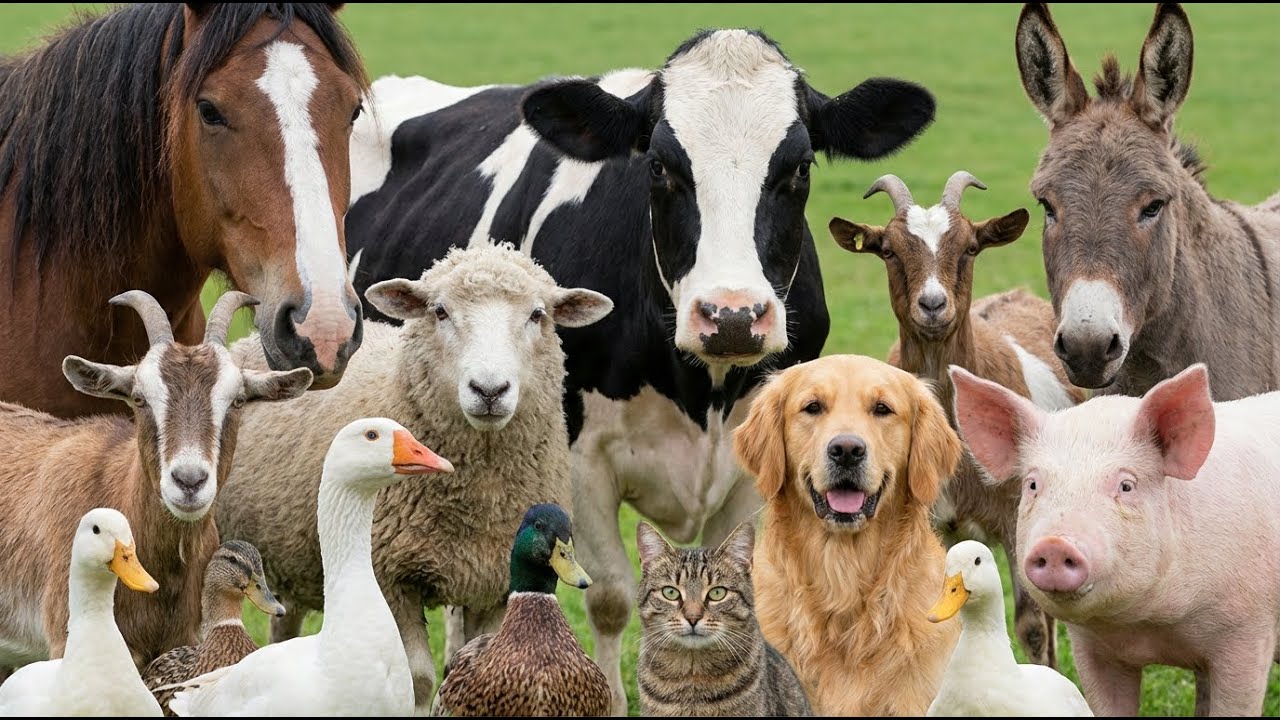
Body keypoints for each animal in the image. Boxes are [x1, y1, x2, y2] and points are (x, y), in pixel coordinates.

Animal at [217, 242, 614, 711]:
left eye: (538, 315)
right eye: (440, 311)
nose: (489, 390)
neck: (480, 494)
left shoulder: (496, 582)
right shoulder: (392, 576)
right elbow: (418, 679)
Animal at [343, 29, 935, 713]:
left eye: (800, 167)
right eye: (658, 167)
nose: (732, 316)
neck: (701, 390)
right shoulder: (579, 459)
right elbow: (609, 596)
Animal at [829, 171, 1086, 670]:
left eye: (970, 247)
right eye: (888, 250)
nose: (933, 305)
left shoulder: (1014, 515)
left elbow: (1031, 624)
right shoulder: (927, 525)